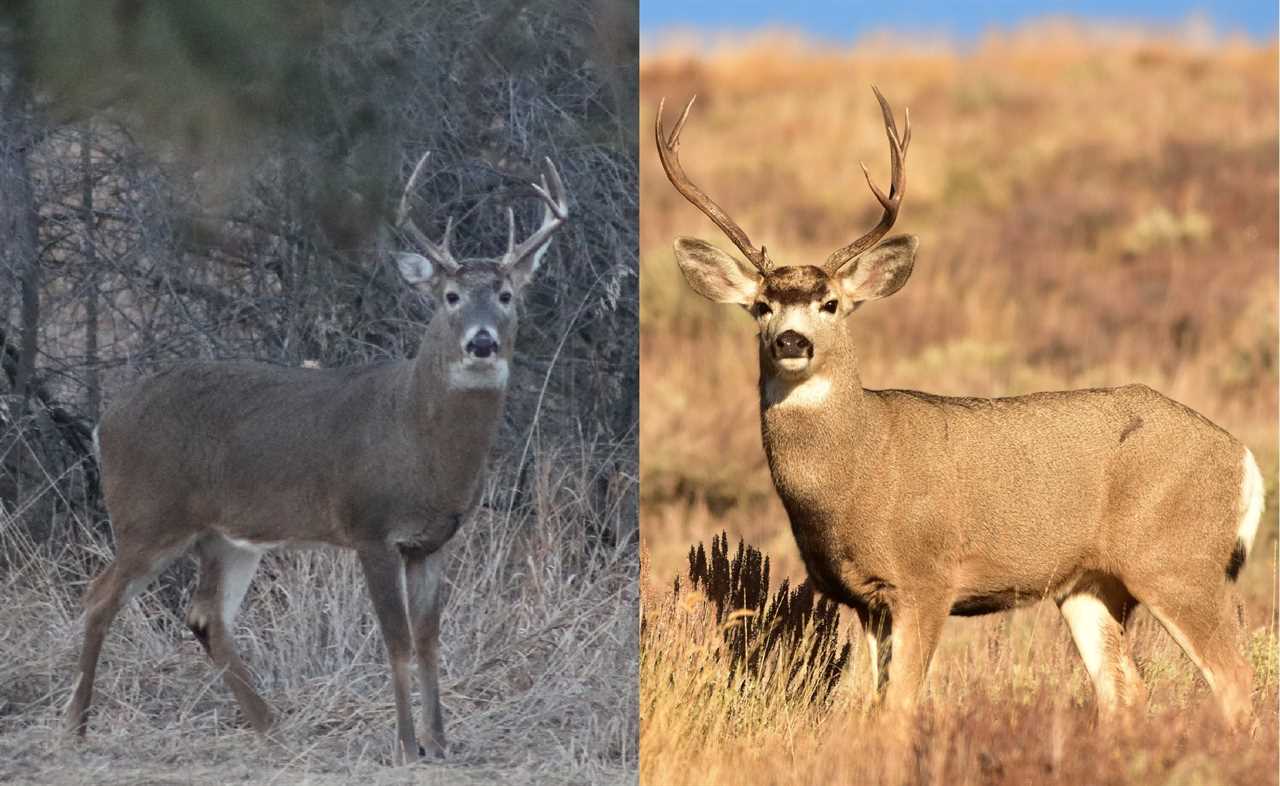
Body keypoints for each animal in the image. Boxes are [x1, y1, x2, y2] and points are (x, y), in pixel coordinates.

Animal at [64, 152, 570, 762]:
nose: (481, 342)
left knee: (205, 616)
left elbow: (429, 643)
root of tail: (104, 422)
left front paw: (441, 744)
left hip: (226, 537)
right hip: (146, 516)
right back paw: (76, 728)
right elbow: (397, 643)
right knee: (98, 597)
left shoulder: (431, 542)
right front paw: (407, 747)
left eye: (506, 295)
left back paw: (270, 725)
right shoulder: (371, 528)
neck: (420, 442)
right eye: (450, 296)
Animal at [655, 86, 1264, 727]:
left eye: (830, 303)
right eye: (761, 306)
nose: (791, 342)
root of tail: (1242, 456)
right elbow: (873, 704)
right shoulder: (865, 598)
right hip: (1091, 585)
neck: (859, 470)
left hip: (1177, 562)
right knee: (1125, 691)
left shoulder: (927, 578)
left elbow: (898, 709)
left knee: (1233, 679)